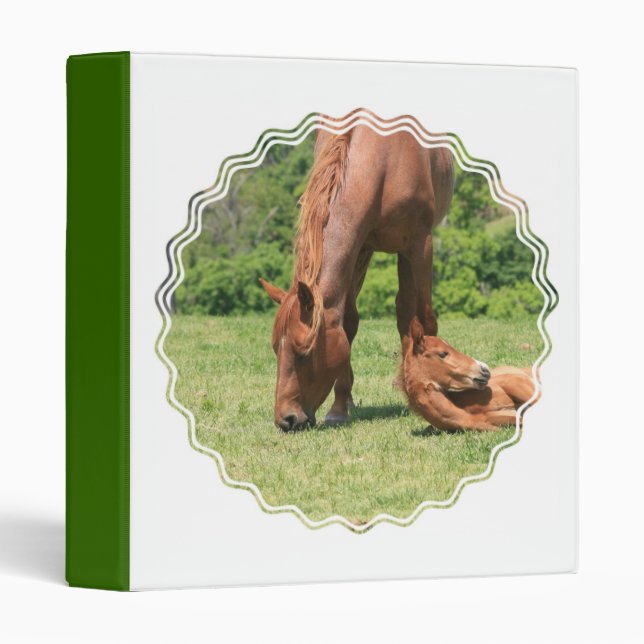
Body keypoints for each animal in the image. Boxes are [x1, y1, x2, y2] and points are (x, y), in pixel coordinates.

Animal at [260, 119, 454, 431]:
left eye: (304, 354)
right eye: (276, 349)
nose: (286, 419)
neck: (384, 161)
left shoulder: (419, 244)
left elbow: (424, 318)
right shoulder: (357, 245)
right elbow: (347, 324)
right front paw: (339, 407)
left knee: (406, 311)